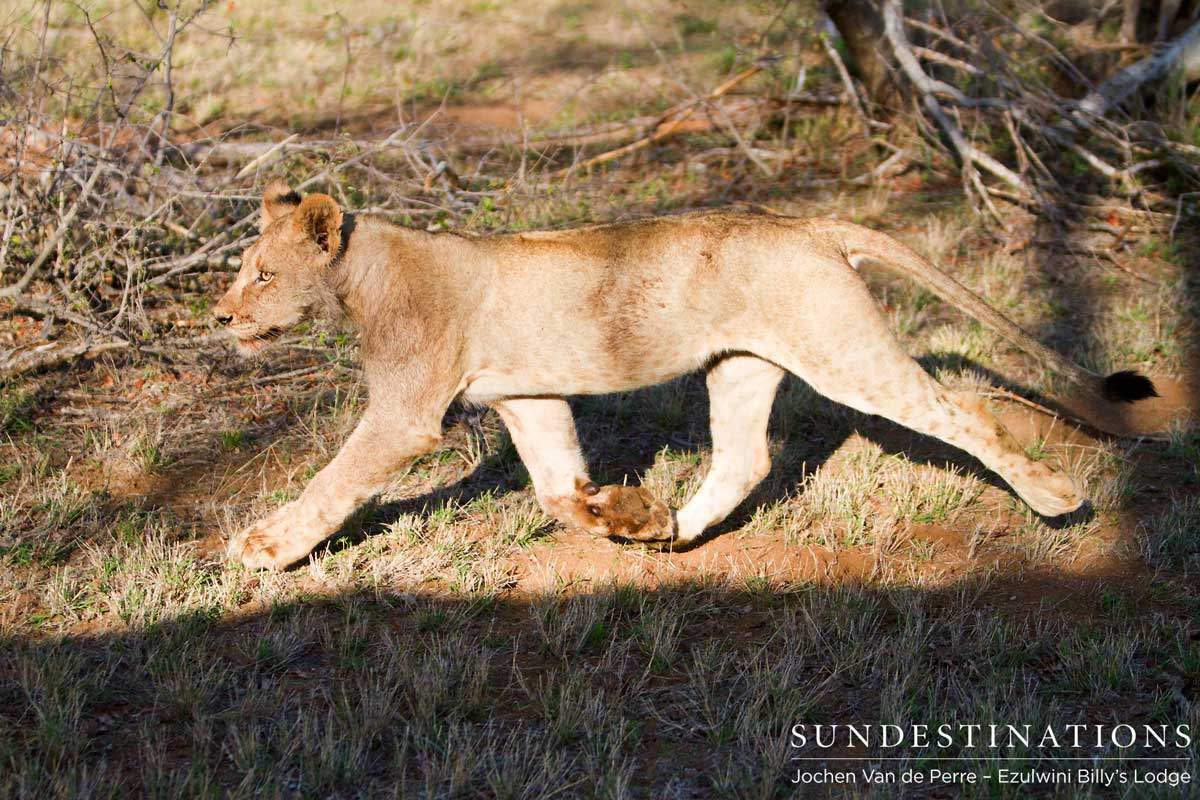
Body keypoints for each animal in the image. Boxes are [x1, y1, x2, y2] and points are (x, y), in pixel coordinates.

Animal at [212, 180, 1158, 571]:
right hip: (743, 365)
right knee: (745, 459)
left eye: (260, 274)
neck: (363, 274)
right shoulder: (528, 394)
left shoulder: (407, 411)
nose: (219, 316)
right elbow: (557, 486)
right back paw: (673, 533)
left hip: (839, 351)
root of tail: (811, 225)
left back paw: (1056, 496)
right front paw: (627, 516)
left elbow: (335, 480)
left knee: (961, 409)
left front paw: (262, 548)